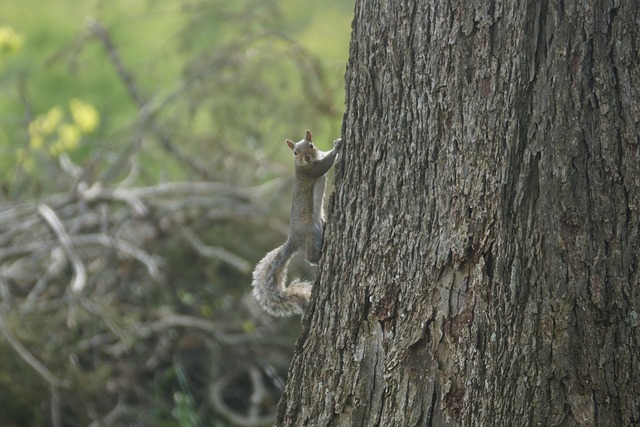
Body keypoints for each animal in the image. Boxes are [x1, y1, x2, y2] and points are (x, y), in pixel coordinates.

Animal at [251, 130, 344, 318]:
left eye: (311, 145)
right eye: (295, 153)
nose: (306, 158)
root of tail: (293, 239)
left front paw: (336, 141)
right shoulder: (309, 171)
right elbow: (325, 164)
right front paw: (338, 146)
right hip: (311, 231)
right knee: (309, 257)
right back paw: (318, 257)